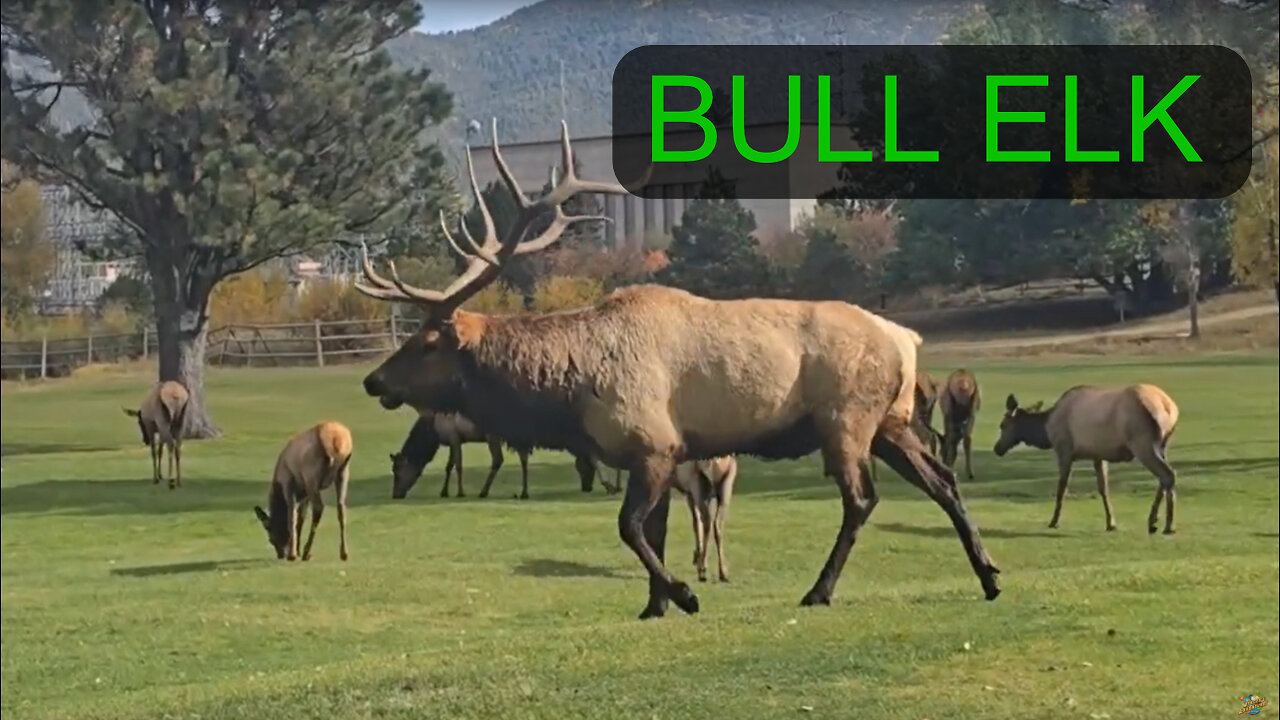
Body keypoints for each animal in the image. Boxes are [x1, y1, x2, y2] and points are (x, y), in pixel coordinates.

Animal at [254, 421, 353, 561]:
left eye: (271, 539)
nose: (280, 555)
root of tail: (334, 443)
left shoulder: (288, 482)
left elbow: (292, 516)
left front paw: (293, 554)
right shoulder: (305, 492)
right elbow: (301, 517)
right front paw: (297, 550)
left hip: (311, 475)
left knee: (318, 508)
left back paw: (307, 552)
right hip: (343, 472)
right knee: (341, 507)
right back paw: (344, 553)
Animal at [351, 119, 1000, 620]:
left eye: (427, 342)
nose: (372, 381)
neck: (568, 392)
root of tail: (906, 339)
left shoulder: (654, 444)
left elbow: (629, 527)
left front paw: (684, 594)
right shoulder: (662, 453)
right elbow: (654, 531)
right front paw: (654, 604)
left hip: (846, 419)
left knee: (862, 499)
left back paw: (819, 591)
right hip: (891, 421)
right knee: (942, 479)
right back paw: (989, 575)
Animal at [993, 385, 1180, 534]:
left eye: (1002, 425)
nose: (997, 448)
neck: (1046, 429)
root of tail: (1169, 408)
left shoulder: (1064, 449)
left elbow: (1062, 488)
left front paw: (1054, 521)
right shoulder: (1098, 455)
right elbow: (1103, 489)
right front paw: (1111, 523)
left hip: (1142, 442)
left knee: (1167, 474)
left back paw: (1166, 525)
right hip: (1163, 444)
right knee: (1164, 477)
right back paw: (1155, 522)